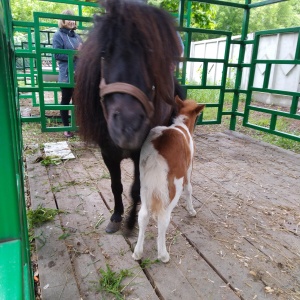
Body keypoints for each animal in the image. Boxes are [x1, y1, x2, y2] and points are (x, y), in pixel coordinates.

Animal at [74, 0, 184, 233]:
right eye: (104, 52)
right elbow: (116, 186)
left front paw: (132, 221)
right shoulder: (108, 153)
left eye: (151, 53)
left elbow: (136, 189)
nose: (128, 127)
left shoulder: (140, 154)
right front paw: (116, 216)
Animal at [132, 96, 204, 262]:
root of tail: (157, 153)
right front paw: (191, 211)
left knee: (143, 215)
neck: (182, 125)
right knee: (163, 217)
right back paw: (163, 254)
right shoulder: (189, 167)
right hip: (174, 185)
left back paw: (137, 252)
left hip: (145, 185)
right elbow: (189, 189)